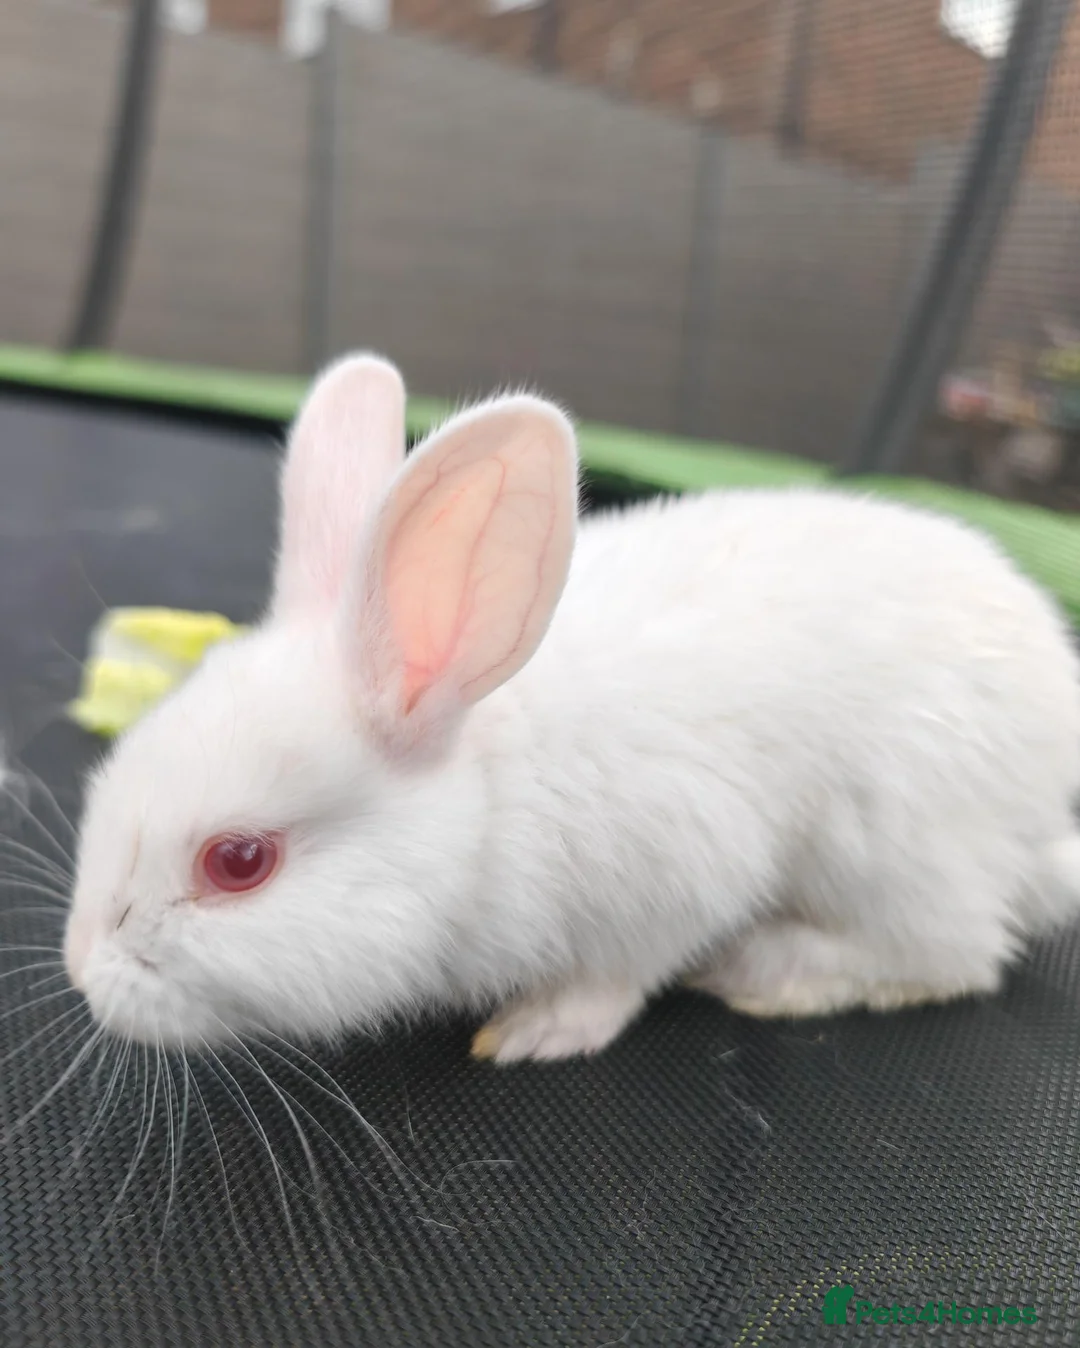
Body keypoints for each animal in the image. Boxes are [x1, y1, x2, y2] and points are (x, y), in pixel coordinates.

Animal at [63, 353, 1080, 1064]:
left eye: (239, 862)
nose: (80, 970)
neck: (488, 798)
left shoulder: (681, 869)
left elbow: (619, 977)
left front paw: (535, 1032)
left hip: (893, 845)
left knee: (954, 955)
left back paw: (759, 969)